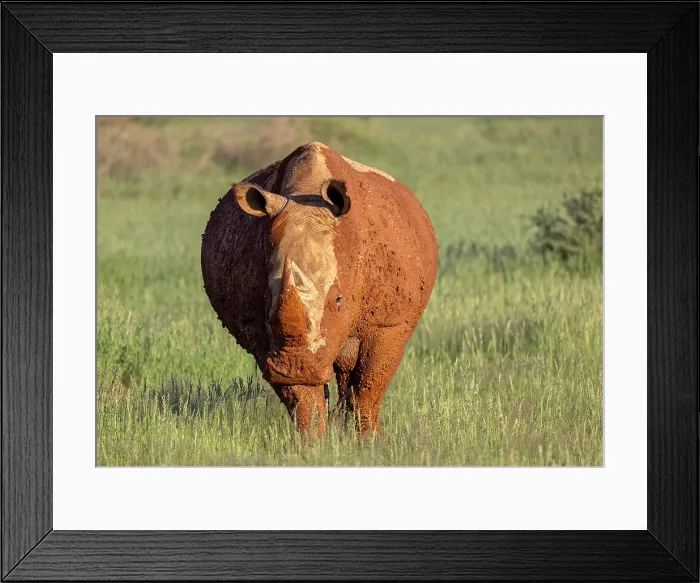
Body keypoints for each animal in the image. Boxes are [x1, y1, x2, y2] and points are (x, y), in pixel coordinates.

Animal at [201, 142, 438, 435]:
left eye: (338, 300)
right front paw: (312, 441)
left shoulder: (389, 322)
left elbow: (369, 386)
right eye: (267, 300)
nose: (296, 366)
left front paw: (369, 441)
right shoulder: (263, 336)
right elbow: (302, 398)